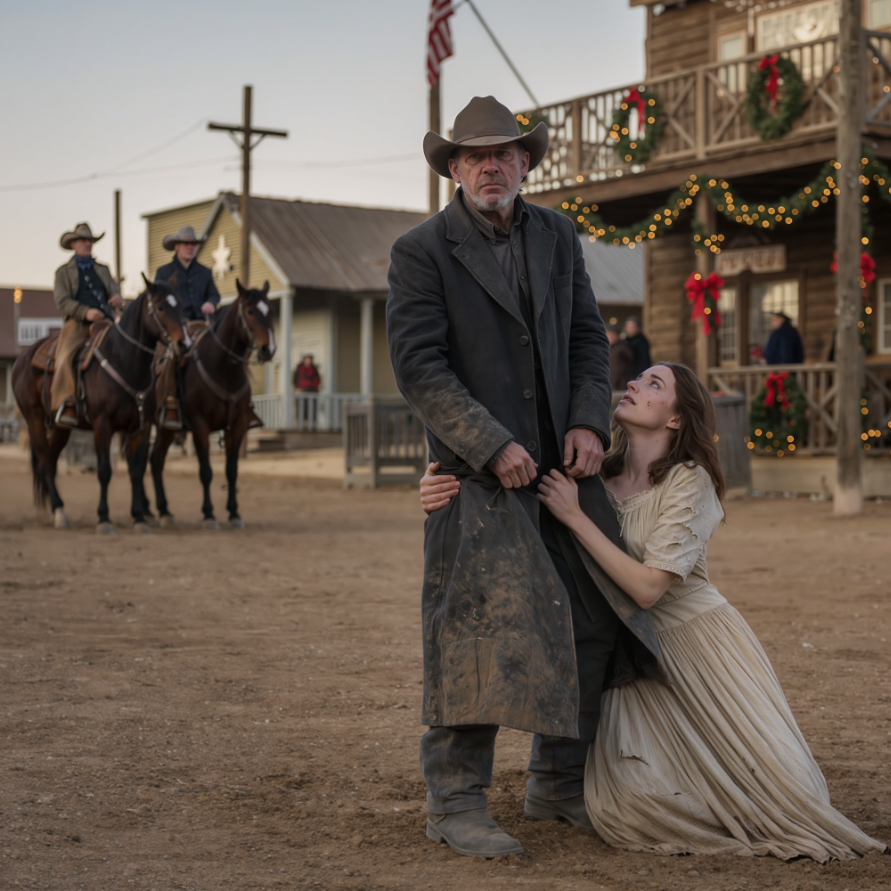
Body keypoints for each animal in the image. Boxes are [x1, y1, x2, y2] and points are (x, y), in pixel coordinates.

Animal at [12, 276, 189, 533]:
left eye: (181, 306)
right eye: (160, 307)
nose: (184, 344)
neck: (124, 360)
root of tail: (23, 358)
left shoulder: (142, 426)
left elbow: (136, 471)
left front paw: (139, 517)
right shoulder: (102, 425)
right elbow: (104, 470)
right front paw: (104, 518)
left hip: (60, 426)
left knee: (52, 461)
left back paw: (57, 509)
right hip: (34, 420)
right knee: (44, 462)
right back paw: (59, 512)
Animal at [149, 280, 276, 530]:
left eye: (270, 310)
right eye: (250, 311)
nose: (269, 349)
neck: (222, 368)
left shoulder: (236, 426)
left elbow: (232, 470)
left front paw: (234, 513)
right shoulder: (200, 426)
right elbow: (206, 471)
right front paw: (209, 514)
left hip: (167, 430)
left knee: (156, 459)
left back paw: (164, 511)